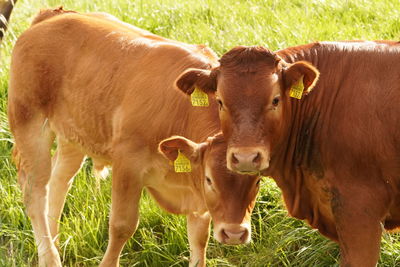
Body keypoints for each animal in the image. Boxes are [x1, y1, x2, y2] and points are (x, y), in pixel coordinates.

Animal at [8, 8, 260, 267]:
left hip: (73, 133)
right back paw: (49, 256)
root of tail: (53, 15)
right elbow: (122, 226)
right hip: (29, 122)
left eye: (258, 181)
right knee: (35, 191)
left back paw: (55, 246)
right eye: (210, 179)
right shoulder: (127, 163)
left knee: (59, 181)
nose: (234, 233)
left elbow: (199, 239)